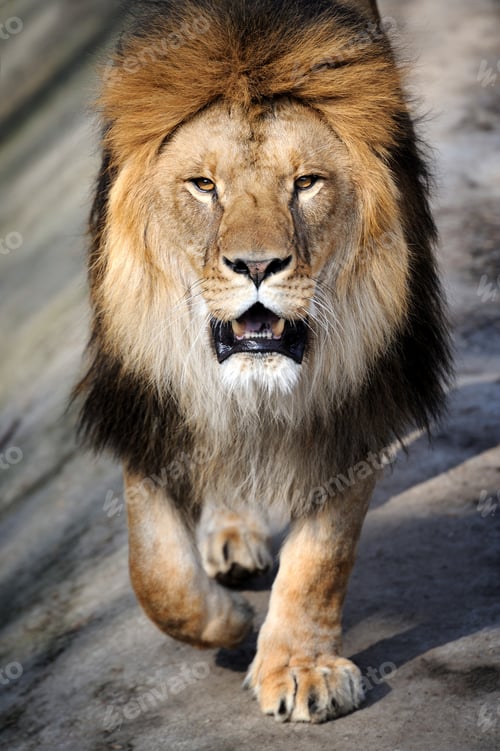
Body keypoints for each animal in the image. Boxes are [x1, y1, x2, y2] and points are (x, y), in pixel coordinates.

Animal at [74, 0, 452, 723]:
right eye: (203, 186)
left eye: (305, 183)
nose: (256, 266)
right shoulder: (152, 393)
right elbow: (155, 572)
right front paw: (227, 623)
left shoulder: (354, 399)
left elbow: (322, 555)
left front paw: (299, 667)